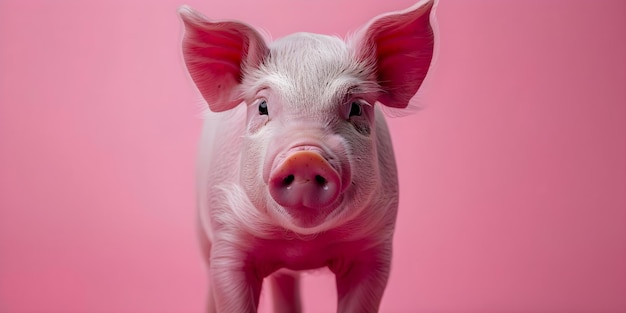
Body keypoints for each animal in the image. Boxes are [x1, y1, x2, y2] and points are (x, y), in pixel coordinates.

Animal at [178, 1, 434, 310]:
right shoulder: (228, 237)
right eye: (262, 106)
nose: (305, 157)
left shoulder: (376, 245)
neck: (301, 244)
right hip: (201, 229)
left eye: (356, 108)